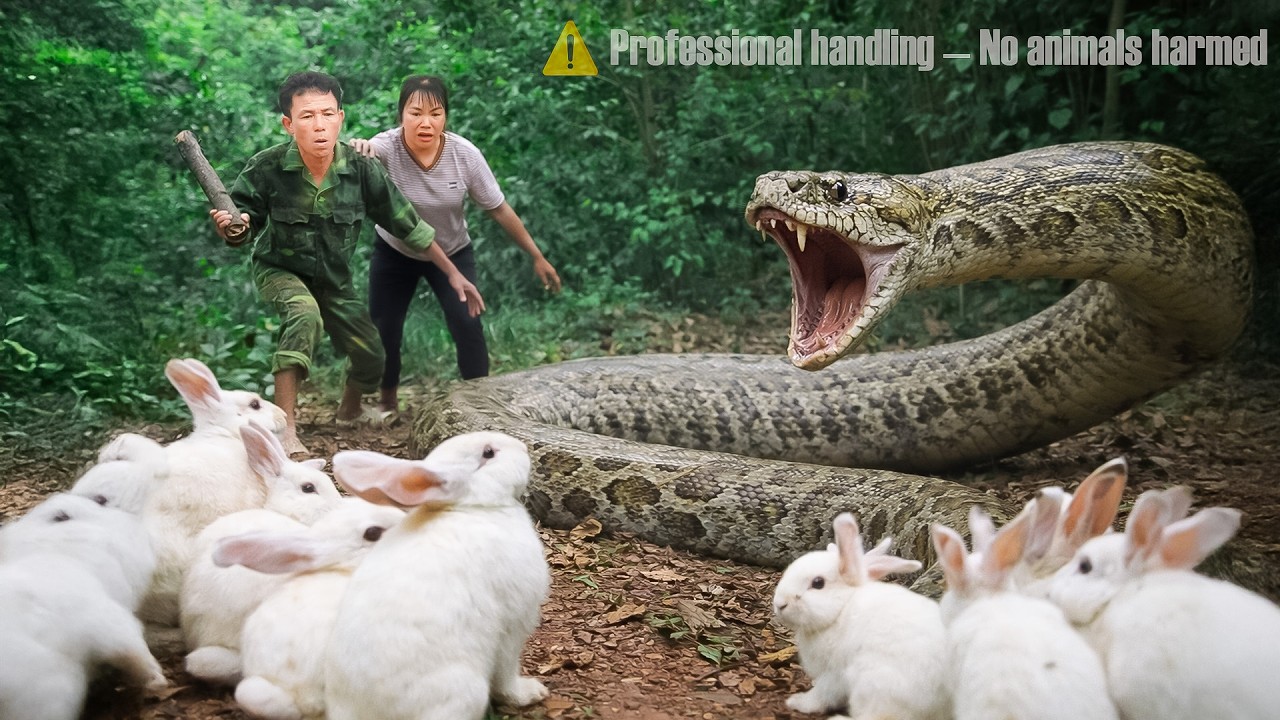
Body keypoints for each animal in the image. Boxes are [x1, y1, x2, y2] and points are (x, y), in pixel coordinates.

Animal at [323, 432, 551, 720]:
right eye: (488, 453)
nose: (523, 447)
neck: (473, 507)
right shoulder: (514, 624)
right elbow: (506, 672)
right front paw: (529, 693)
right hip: (465, 692)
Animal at [771, 512, 948, 720]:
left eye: (818, 583)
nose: (780, 604)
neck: (842, 609)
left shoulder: (834, 674)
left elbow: (822, 695)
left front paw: (798, 702)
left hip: (873, 682)